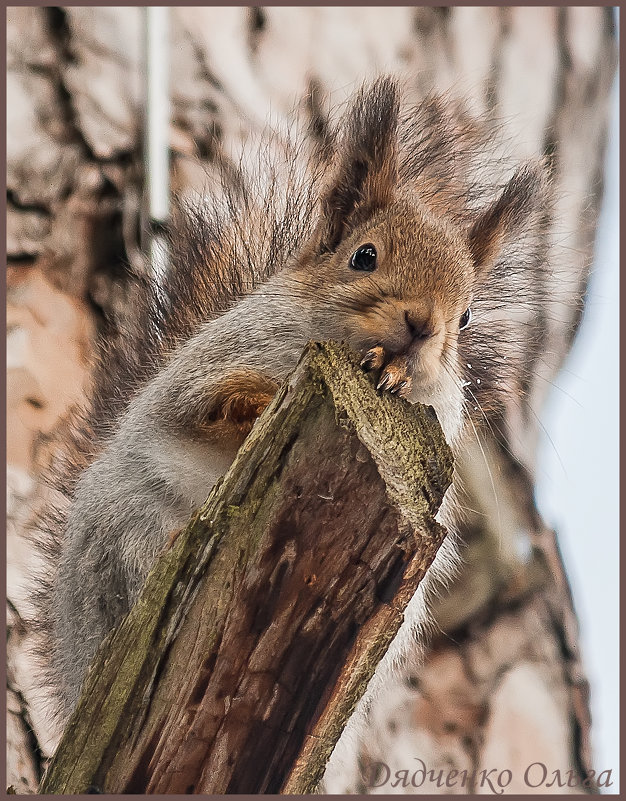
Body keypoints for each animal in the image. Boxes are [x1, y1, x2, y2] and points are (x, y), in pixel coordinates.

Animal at [35, 76, 544, 752]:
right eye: (363, 256)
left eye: (465, 318)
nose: (421, 327)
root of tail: (76, 676)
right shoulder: (206, 371)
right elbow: (210, 404)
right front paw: (258, 400)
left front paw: (395, 374)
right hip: (125, 537)